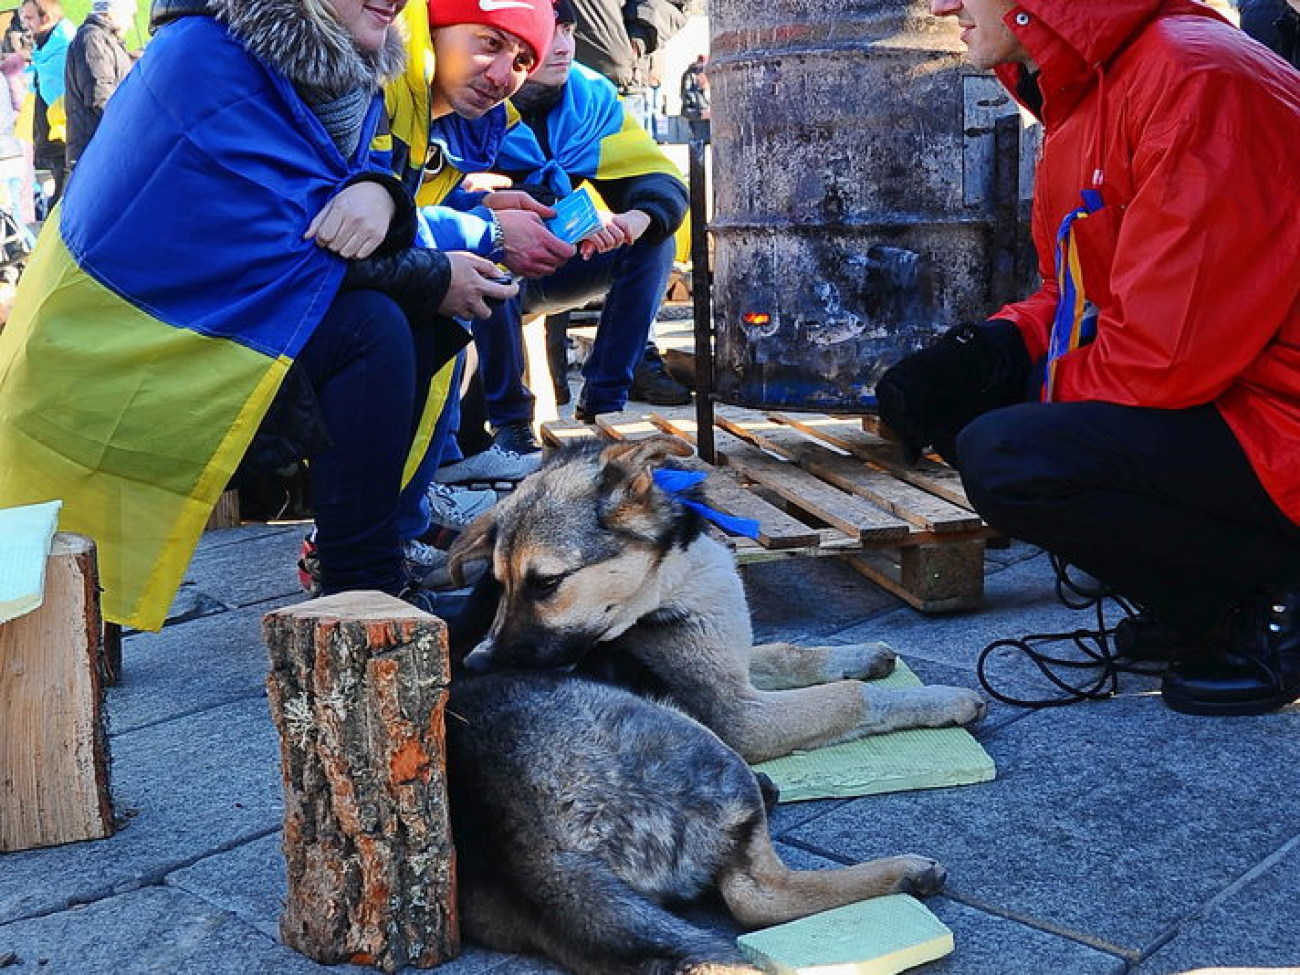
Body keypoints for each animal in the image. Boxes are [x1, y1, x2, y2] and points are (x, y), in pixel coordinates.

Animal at [449, 439, 982, 769]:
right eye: (501, 581)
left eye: (546, 583)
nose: (474, 664)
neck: (674, 582)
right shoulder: (741, 717)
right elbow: (850, 698)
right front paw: (943, 700)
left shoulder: (729, 659)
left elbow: (787, 653)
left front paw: (861, 655)